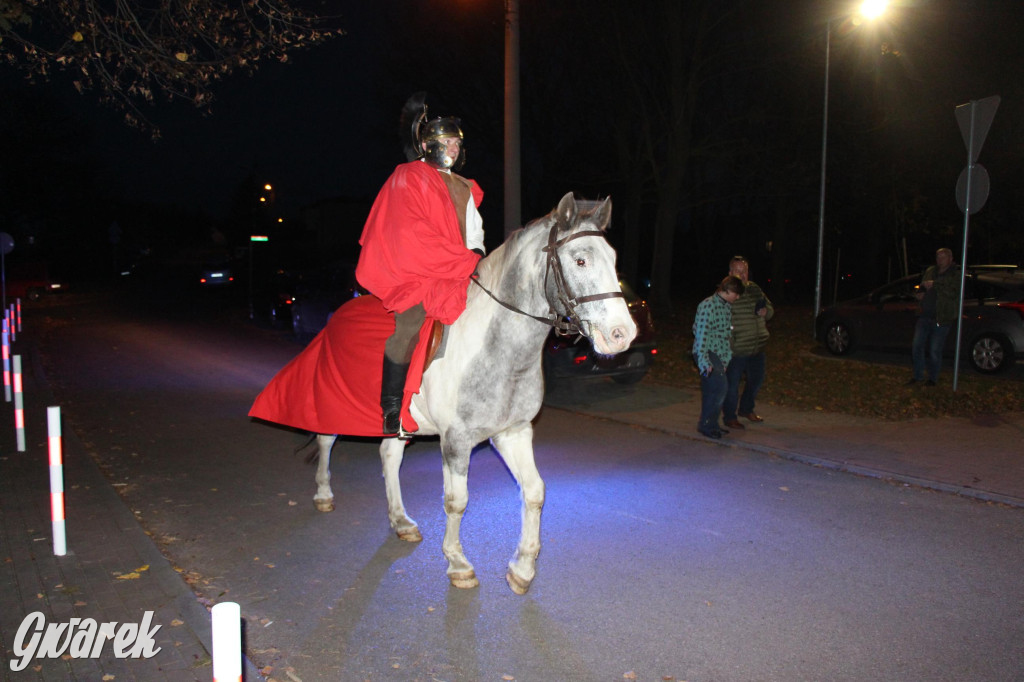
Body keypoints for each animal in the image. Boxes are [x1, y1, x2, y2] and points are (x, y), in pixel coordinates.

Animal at [313, 191, 630, 589]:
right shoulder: (456, 440)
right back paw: (323, 494)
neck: (497, 350)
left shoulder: (513, 433)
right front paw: (458, 562)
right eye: (581, 259)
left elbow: (534, 492)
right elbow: (456, 500)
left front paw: (522, 567)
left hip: (400, 424)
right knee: (325, 440)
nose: (623, 334)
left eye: (614, 260)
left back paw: (400, 520)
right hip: (333, 403)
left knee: (389, 455)